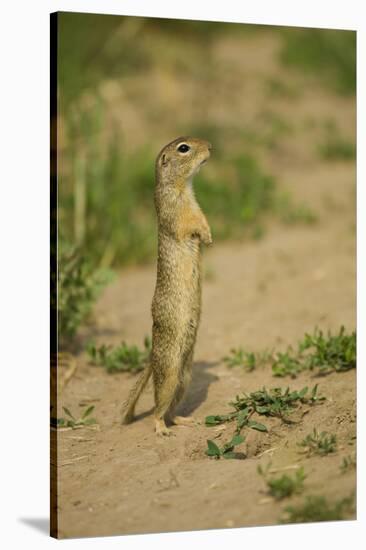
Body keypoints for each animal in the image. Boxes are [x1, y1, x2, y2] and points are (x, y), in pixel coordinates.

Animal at [122, 137, 212, 436]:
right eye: (184, 148)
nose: (210, 146)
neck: (183, 187)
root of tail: (151, 356)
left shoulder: (197, 205)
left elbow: (203, 218)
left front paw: (209, 237)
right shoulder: (177, 212)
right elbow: (189, 224)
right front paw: (206, 237)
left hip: (185, 377)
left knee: (171, 408)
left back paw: (185, 420)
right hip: (171, 373)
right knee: (158, 408)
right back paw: (162, 429)